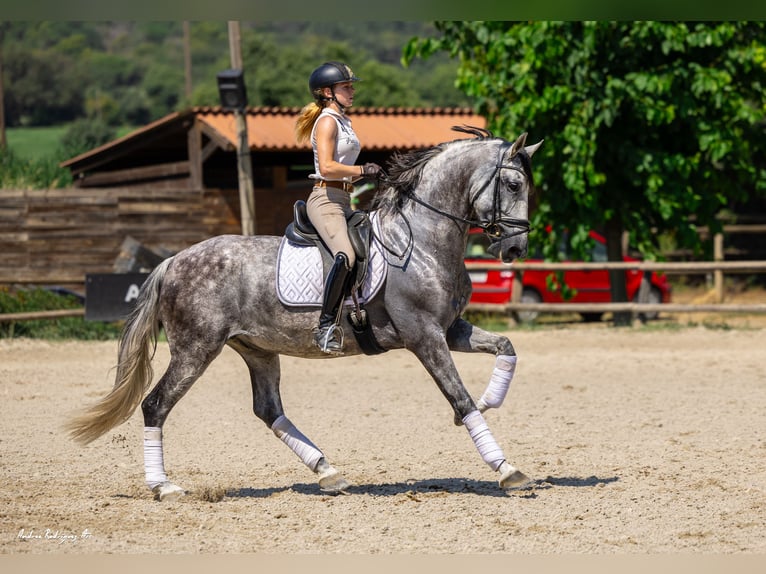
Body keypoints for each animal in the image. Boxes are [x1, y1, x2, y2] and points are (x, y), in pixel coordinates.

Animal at [69, 126, 544, 500]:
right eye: (514, 185)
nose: (515, 249)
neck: (423, 239)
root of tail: (173, 261)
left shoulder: (449, 330)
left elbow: (506, 346)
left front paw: (491, 399)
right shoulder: (424, 336)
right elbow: (459, 396)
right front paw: (506, 469)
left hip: (257, 349)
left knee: (268, 409)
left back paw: (328, 472)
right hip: (195, 349)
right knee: (156, 405)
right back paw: (163, 486)